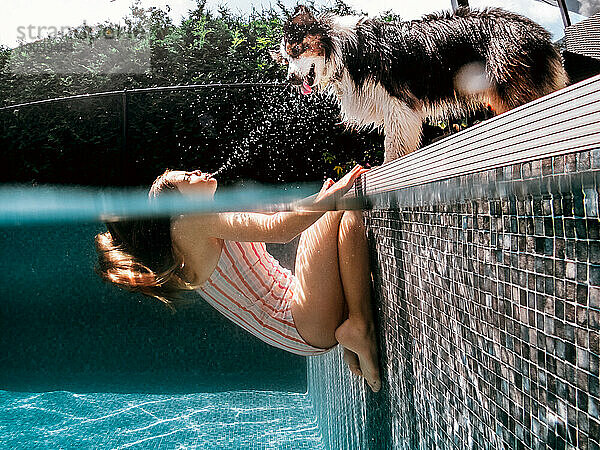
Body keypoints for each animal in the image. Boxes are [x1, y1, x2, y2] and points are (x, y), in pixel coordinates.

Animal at [272, 5, 568, 163]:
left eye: (296, 49)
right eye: (286, 57)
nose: (290, 79)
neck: (344, 51)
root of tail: (538, 34)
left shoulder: (398, 104)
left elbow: (394, 147)